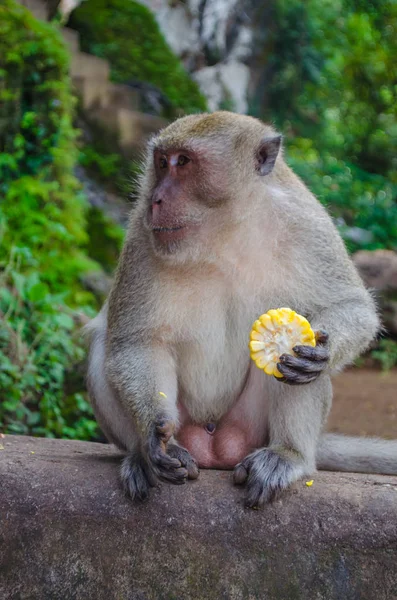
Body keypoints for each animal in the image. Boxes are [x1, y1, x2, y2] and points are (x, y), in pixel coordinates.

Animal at [86, 111, 396, 506]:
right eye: (161, 162)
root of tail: (215, 446)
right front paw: (153, 436)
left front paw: (318, 353)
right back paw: (140, 456)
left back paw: (286, 455)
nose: (155, 199)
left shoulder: (306, 221)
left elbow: (351, 306)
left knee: (297, 365)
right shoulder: (143, 233)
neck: (224, 232)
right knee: (103, 341)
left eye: (183, 162)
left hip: (250, 428)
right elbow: (137, 342)